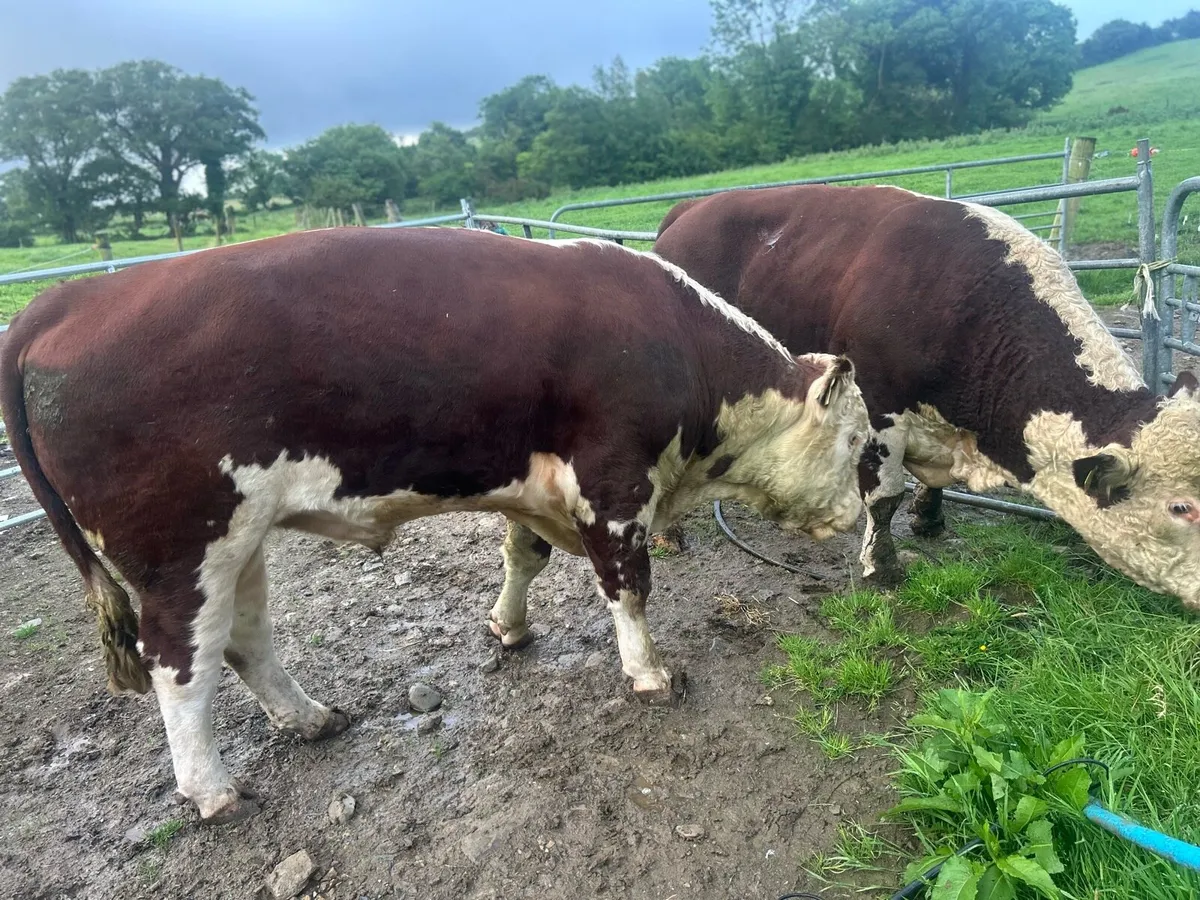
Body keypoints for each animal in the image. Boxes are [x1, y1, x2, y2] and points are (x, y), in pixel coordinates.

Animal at [0, 226, 870, 823]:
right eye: (860, 441)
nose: (858, 516)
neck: (675, 340)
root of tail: (63, 300)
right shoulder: (614, 481)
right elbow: (628, 588)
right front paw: (648, 672)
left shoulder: (536, 486)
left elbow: (523, 556)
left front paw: (508, 627)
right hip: (184, 549)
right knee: (181, 664)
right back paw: (213, 789)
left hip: (237, 539)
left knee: (243, 640)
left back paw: (310, 718)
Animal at [653, 184, 1200, 607]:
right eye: (1181, 508)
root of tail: (691, 208)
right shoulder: (878, 406)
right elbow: (884, 497)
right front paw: (883, 568)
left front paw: (931, 518)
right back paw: (668, 533)